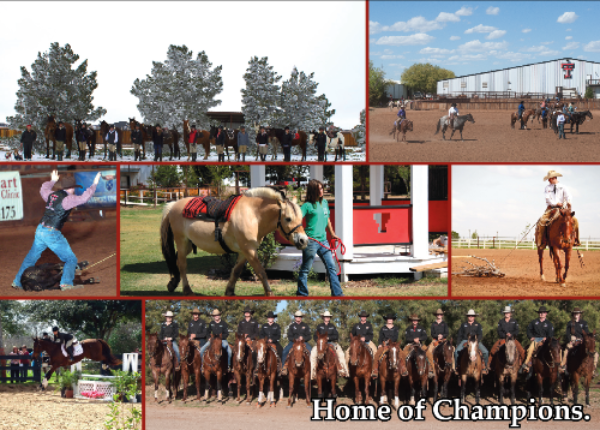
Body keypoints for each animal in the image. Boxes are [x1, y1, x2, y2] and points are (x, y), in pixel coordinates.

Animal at [161, 188, 310, 296]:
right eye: (288, 219)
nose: (303, 240)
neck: (253, 215)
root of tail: (174, 205)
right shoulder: (249, 250)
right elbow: (261, 272)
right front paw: (269, 293)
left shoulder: (244, 251)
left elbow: (236, 271)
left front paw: (229, 291)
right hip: (181, 241)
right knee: (182, 264)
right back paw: (187, 290)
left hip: (188, 244)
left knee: (176, 260)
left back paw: (173, 283)